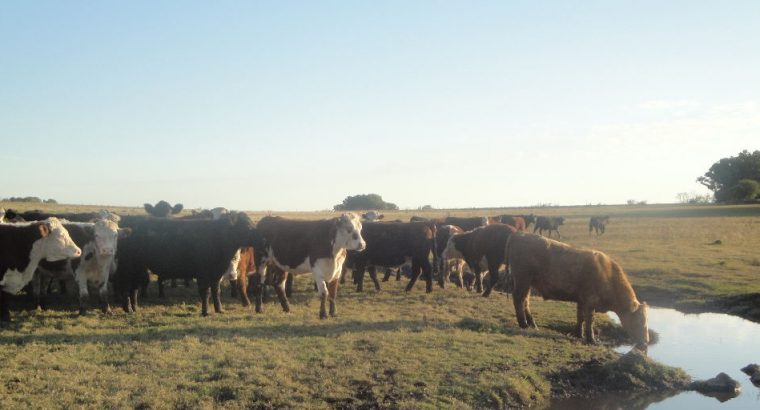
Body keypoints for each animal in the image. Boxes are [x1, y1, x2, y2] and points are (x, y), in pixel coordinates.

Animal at [111, 213, 268, 316]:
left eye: (252, 223)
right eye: (246, 225)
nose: (262, 238)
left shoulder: (216, 273)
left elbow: (216, 291)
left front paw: (219, 309)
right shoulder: (203, 273)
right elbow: (205, 292)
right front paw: (205, 312)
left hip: (137, 267)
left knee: (133, 288)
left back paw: (134, 308)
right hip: (127, 267)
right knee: (125, 287)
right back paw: (128, 309)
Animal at [508, 232, 652, 348]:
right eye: (639, 321)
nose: (646, 341)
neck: (608, 276)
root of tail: (519, 235)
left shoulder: (581, 301)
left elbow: (580, 317)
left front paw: (579, 334)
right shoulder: (590, 301)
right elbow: (589, 320)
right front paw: (591, 339)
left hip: (528, 283)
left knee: (525, 301)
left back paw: (533, 325)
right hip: (522, 278)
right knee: (518, 299)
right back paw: (523, 324)